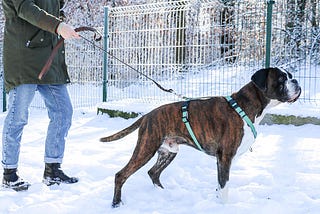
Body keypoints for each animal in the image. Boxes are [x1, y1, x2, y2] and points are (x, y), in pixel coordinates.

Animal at [101, 67, 302, 207]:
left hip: (168, 152)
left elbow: (220, 185)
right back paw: (116, 204)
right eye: (282, 79)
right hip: (146, 149)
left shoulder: (222, 161)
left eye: (290, 75)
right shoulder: (225, 157)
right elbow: (224, 186)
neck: (245, 106)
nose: (296, 81)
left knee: (153, 173)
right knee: (121, 175)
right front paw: (224, 207)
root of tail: (147, 115)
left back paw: (162, 194)